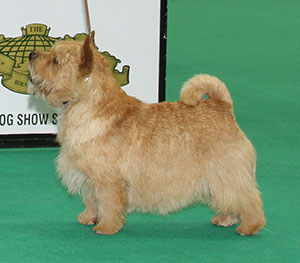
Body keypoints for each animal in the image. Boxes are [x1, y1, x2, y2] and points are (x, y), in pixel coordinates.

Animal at [28, 36, 266, 236]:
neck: (88, 106)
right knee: (230, 199)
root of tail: (222, 105)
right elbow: (91, 200)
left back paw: (250, 226)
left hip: (227, 172)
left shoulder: (108, 180)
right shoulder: (88, 176)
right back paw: (225, 219)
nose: (31, 54)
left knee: (247, 198)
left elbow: (108, 203)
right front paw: (89, 218)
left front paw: (107, 227)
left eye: (55, 61)